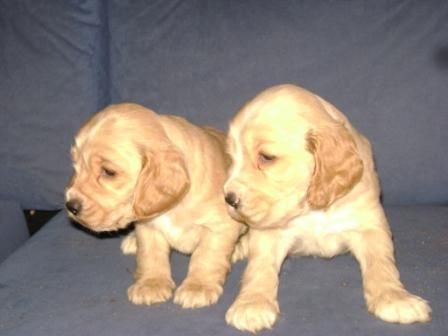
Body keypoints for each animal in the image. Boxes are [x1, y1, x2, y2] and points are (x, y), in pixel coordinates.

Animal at [64, 103, 243, 308]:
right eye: (76, 166)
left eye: (109, 172)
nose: (70, 206)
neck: (173, 207)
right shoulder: (148, 227)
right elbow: (151, 256)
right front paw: (151, 284)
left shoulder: (219, 227)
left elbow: (206, 256)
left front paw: (197, 287)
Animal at [224, 84, 430, 334]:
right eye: (231, 158)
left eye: (266, 157)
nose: (229, 199)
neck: (312, 209)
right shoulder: (269, 233)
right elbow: (259, 266)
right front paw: (251, 304)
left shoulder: (370, 226)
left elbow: (381, 263)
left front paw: (395, 298)